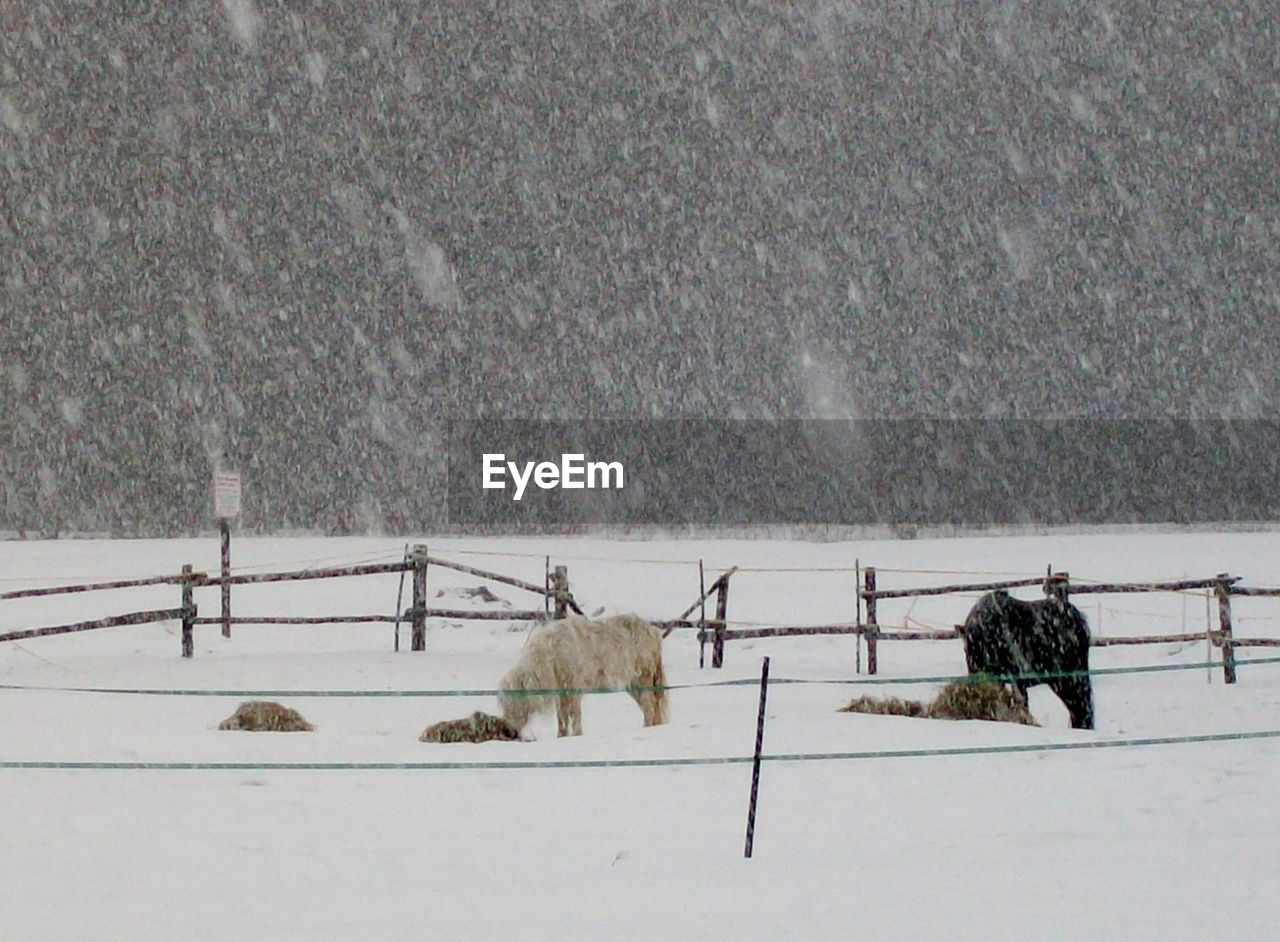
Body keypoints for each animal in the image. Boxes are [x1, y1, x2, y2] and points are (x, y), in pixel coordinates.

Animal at [499, 614, 670, 737]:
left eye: (513, 702)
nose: (509, 731)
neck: (551, 655)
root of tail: (654, 632)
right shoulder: (561, 691)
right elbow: (561, 716)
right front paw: (561, 736)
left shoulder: (573, 687)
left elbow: (574, 714)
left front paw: (577, 735)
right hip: (632, 685)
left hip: (643, 678)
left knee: (649, 706)